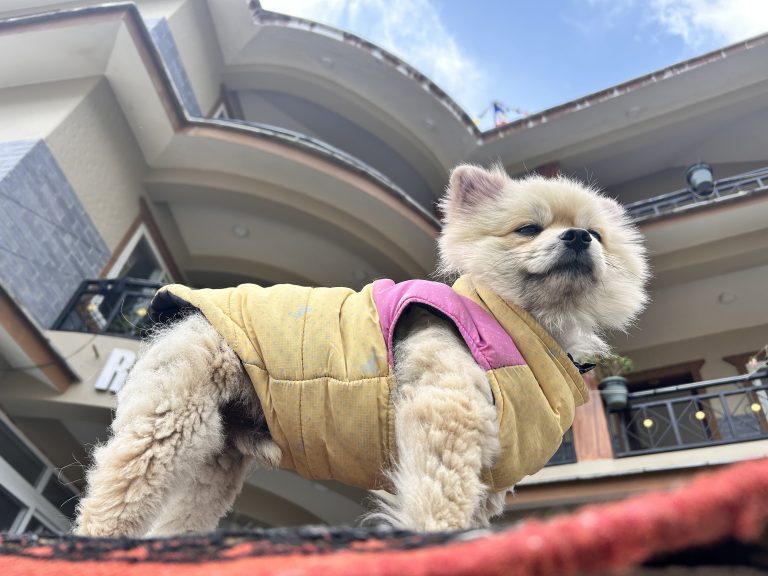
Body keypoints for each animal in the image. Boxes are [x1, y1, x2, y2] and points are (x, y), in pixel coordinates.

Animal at [73, 163, 648, 536]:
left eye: (596, 234)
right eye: (528, 228)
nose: (577, 237)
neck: (524, 327)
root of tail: (187, 308)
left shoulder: (488, 478)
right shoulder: (447, 415)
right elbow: (438, 505)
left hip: (214, 465)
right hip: (169, 424)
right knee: (113, 500)